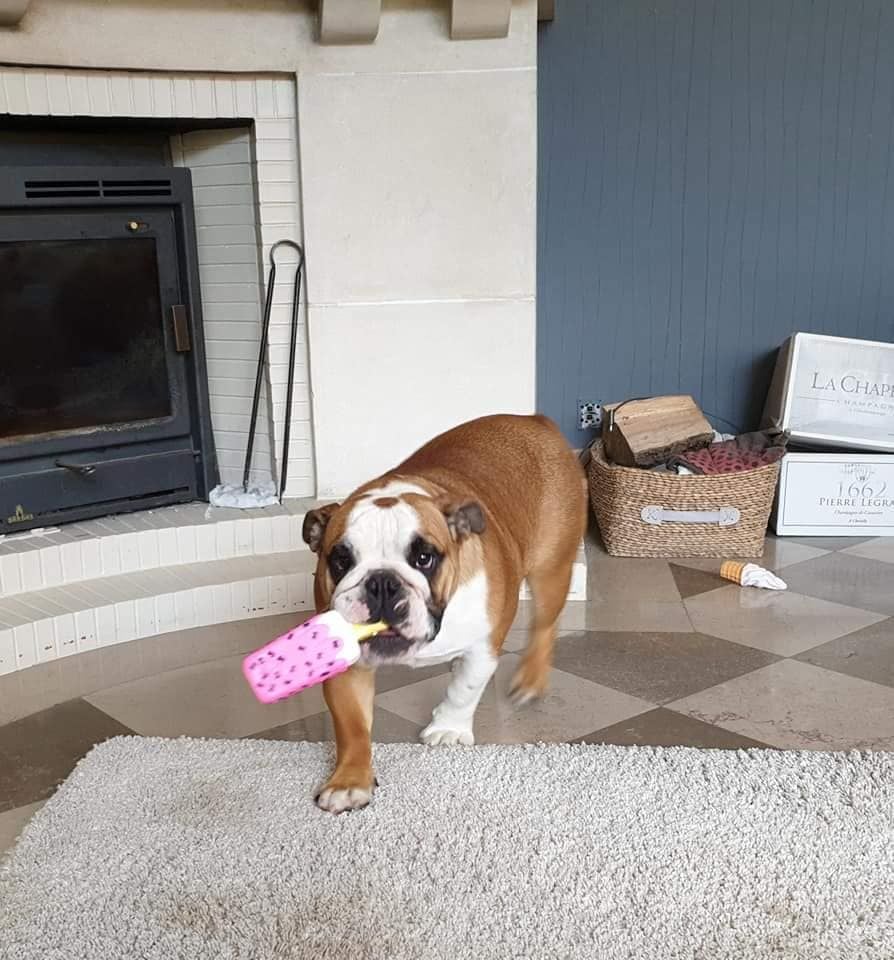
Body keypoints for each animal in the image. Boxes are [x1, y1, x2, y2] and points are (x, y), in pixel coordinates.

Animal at [302, 414, 587, 813]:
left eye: (425, 558)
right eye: (341, 561)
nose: (382, 583)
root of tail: (536, 420)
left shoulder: (483, 646)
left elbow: (465, 688)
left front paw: (449, 727)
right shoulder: (347, 666)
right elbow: (352, 725)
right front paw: (349, 781)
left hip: (551, 568)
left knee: (545, 625)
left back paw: (530, 679)